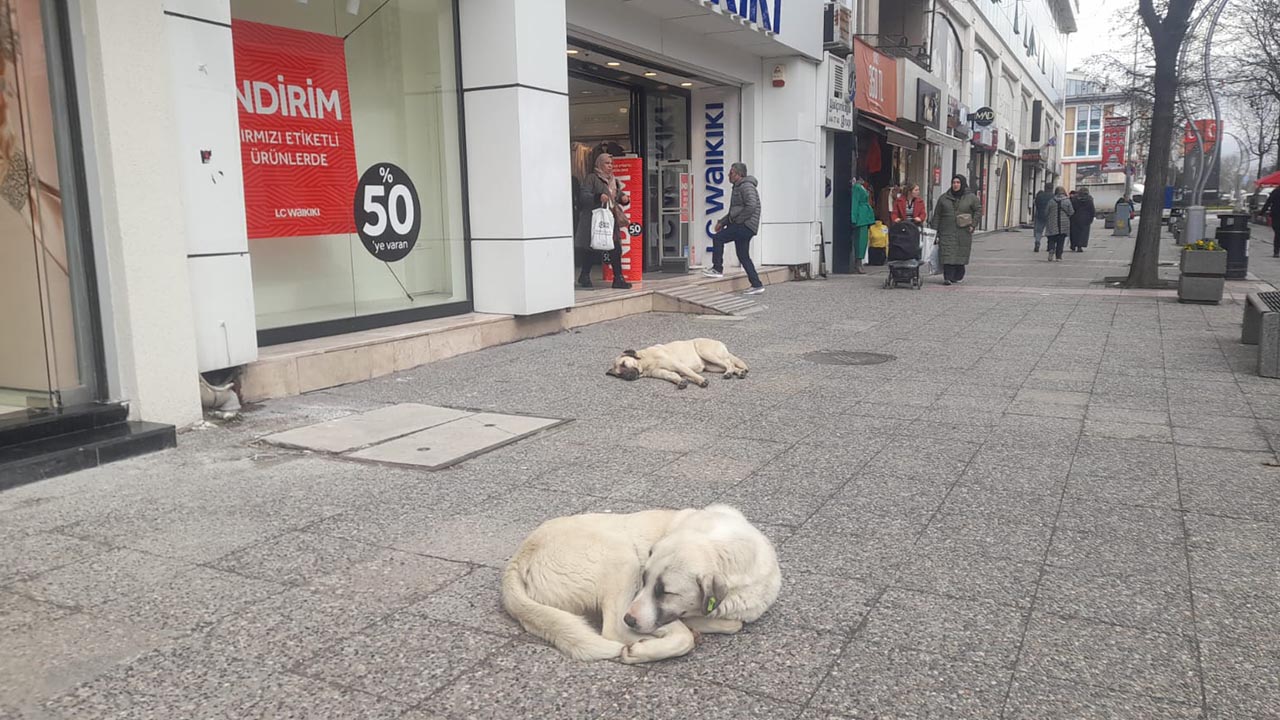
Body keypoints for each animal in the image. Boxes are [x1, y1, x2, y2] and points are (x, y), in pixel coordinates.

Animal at [499, 502, 778, 661]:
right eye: (645, 579)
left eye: (665, 592)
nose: (631, 619)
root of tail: (520, 556)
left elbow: (734, 624)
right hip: (622, 557)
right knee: (614, 630)